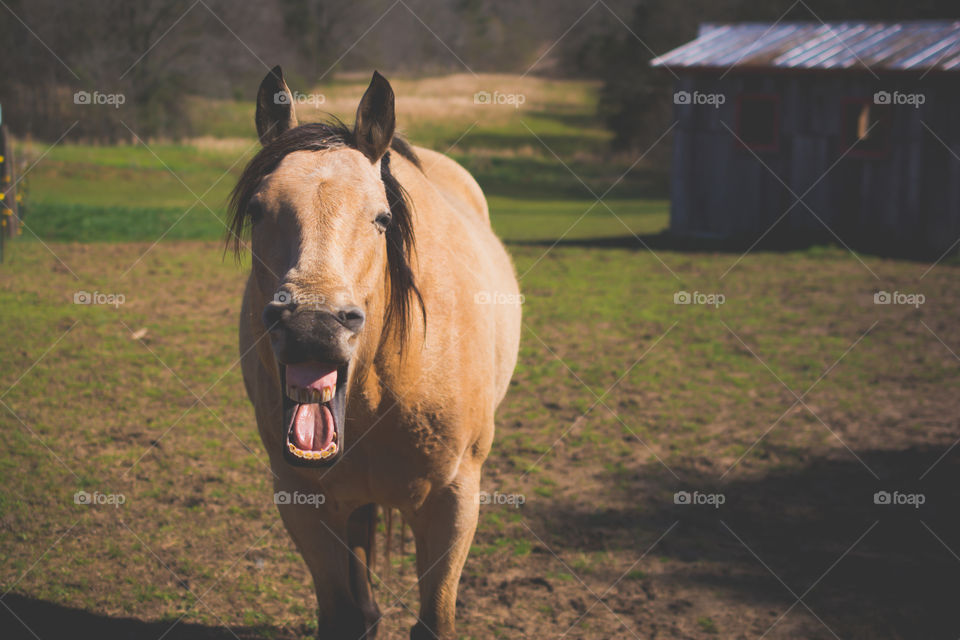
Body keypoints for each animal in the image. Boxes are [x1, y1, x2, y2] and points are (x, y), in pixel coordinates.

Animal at [228, 66, 521, 639]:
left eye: (382, 218)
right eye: (256, 210)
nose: (312, 326)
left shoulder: (455, 500)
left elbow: (435, 621)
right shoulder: (303, 501)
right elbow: (345, 615)